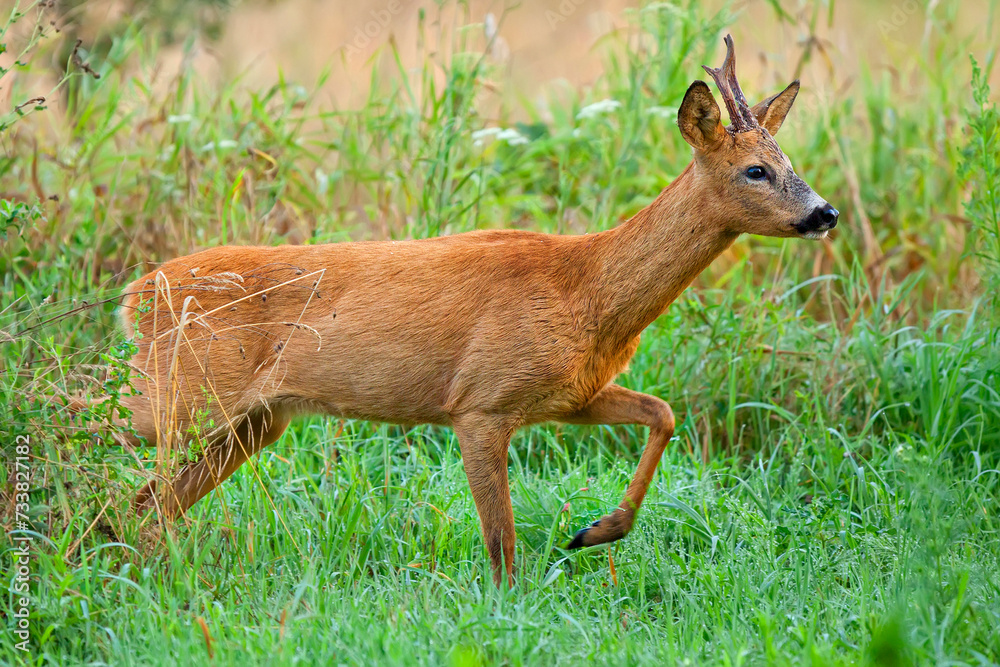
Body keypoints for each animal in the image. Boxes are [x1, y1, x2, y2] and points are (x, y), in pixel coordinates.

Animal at [86, 35, 837, 587]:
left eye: (790, 161)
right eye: (756, 171)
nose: (824, 213)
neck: (588, 288)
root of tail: (136, 294)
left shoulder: (568, 394)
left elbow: (663, 412)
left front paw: (594, 531)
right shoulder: (480, 401)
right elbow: (501, 545)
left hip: (250, 421)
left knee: (146, 504)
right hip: (182, 392)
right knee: (90, 421)